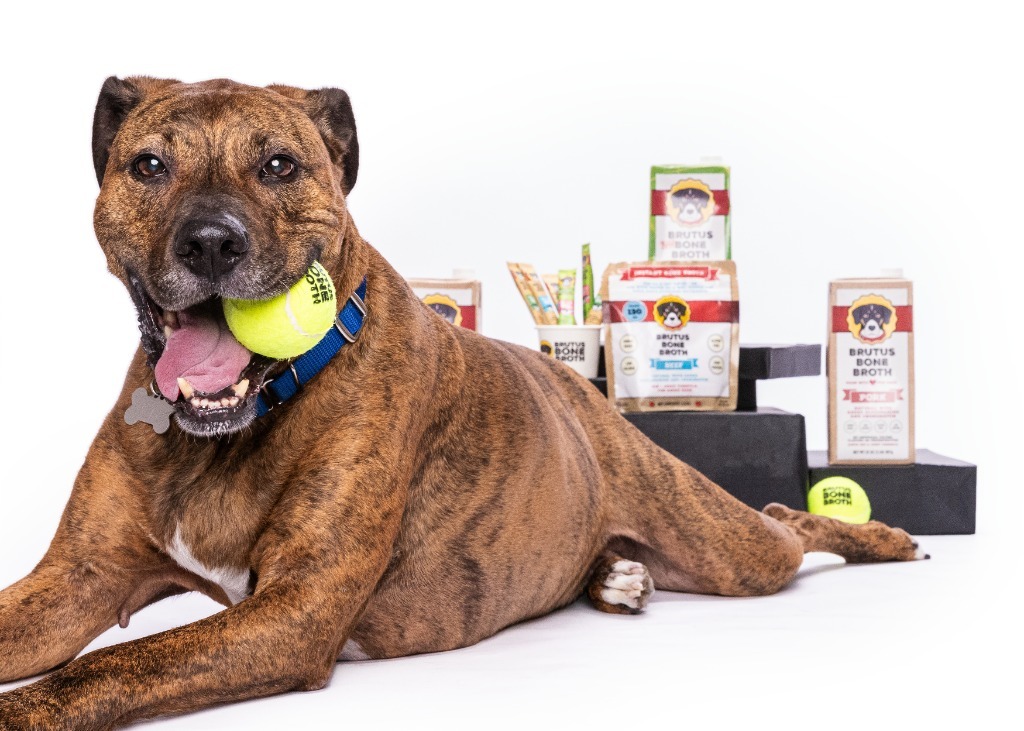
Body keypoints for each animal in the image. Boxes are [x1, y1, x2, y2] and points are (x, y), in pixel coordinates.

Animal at [0, 76, 925, 724]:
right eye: (149, 165)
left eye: (279, 165)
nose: (211, 241)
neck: (234, 424)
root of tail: (580, 386)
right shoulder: (79, 578)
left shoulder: (294, 610)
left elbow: (100, 668)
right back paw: (617, 576)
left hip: (730, 544)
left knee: (786, 519)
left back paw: (881, 536)